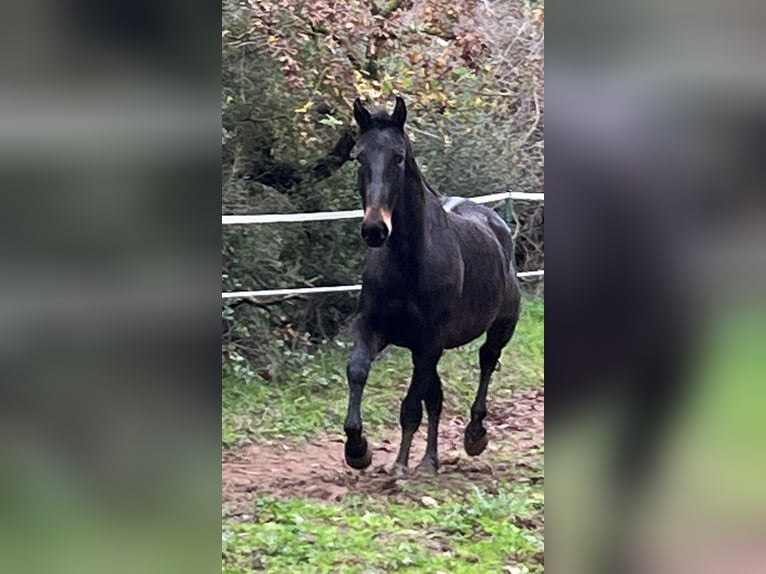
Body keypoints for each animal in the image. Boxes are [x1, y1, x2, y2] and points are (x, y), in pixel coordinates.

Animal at [342, 96, 521, 474]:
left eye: (398, 156)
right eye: (359, 156)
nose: (375, 230)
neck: (409, 263)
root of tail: (497, 223)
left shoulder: (429, 341)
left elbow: (411, 406)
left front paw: (398, 466)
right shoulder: (375, 329)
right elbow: (358, 371)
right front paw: (358, 449)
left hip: (500, 327)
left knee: (487, 360)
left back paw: (474, 435)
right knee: (435, 397)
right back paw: (430, 459)